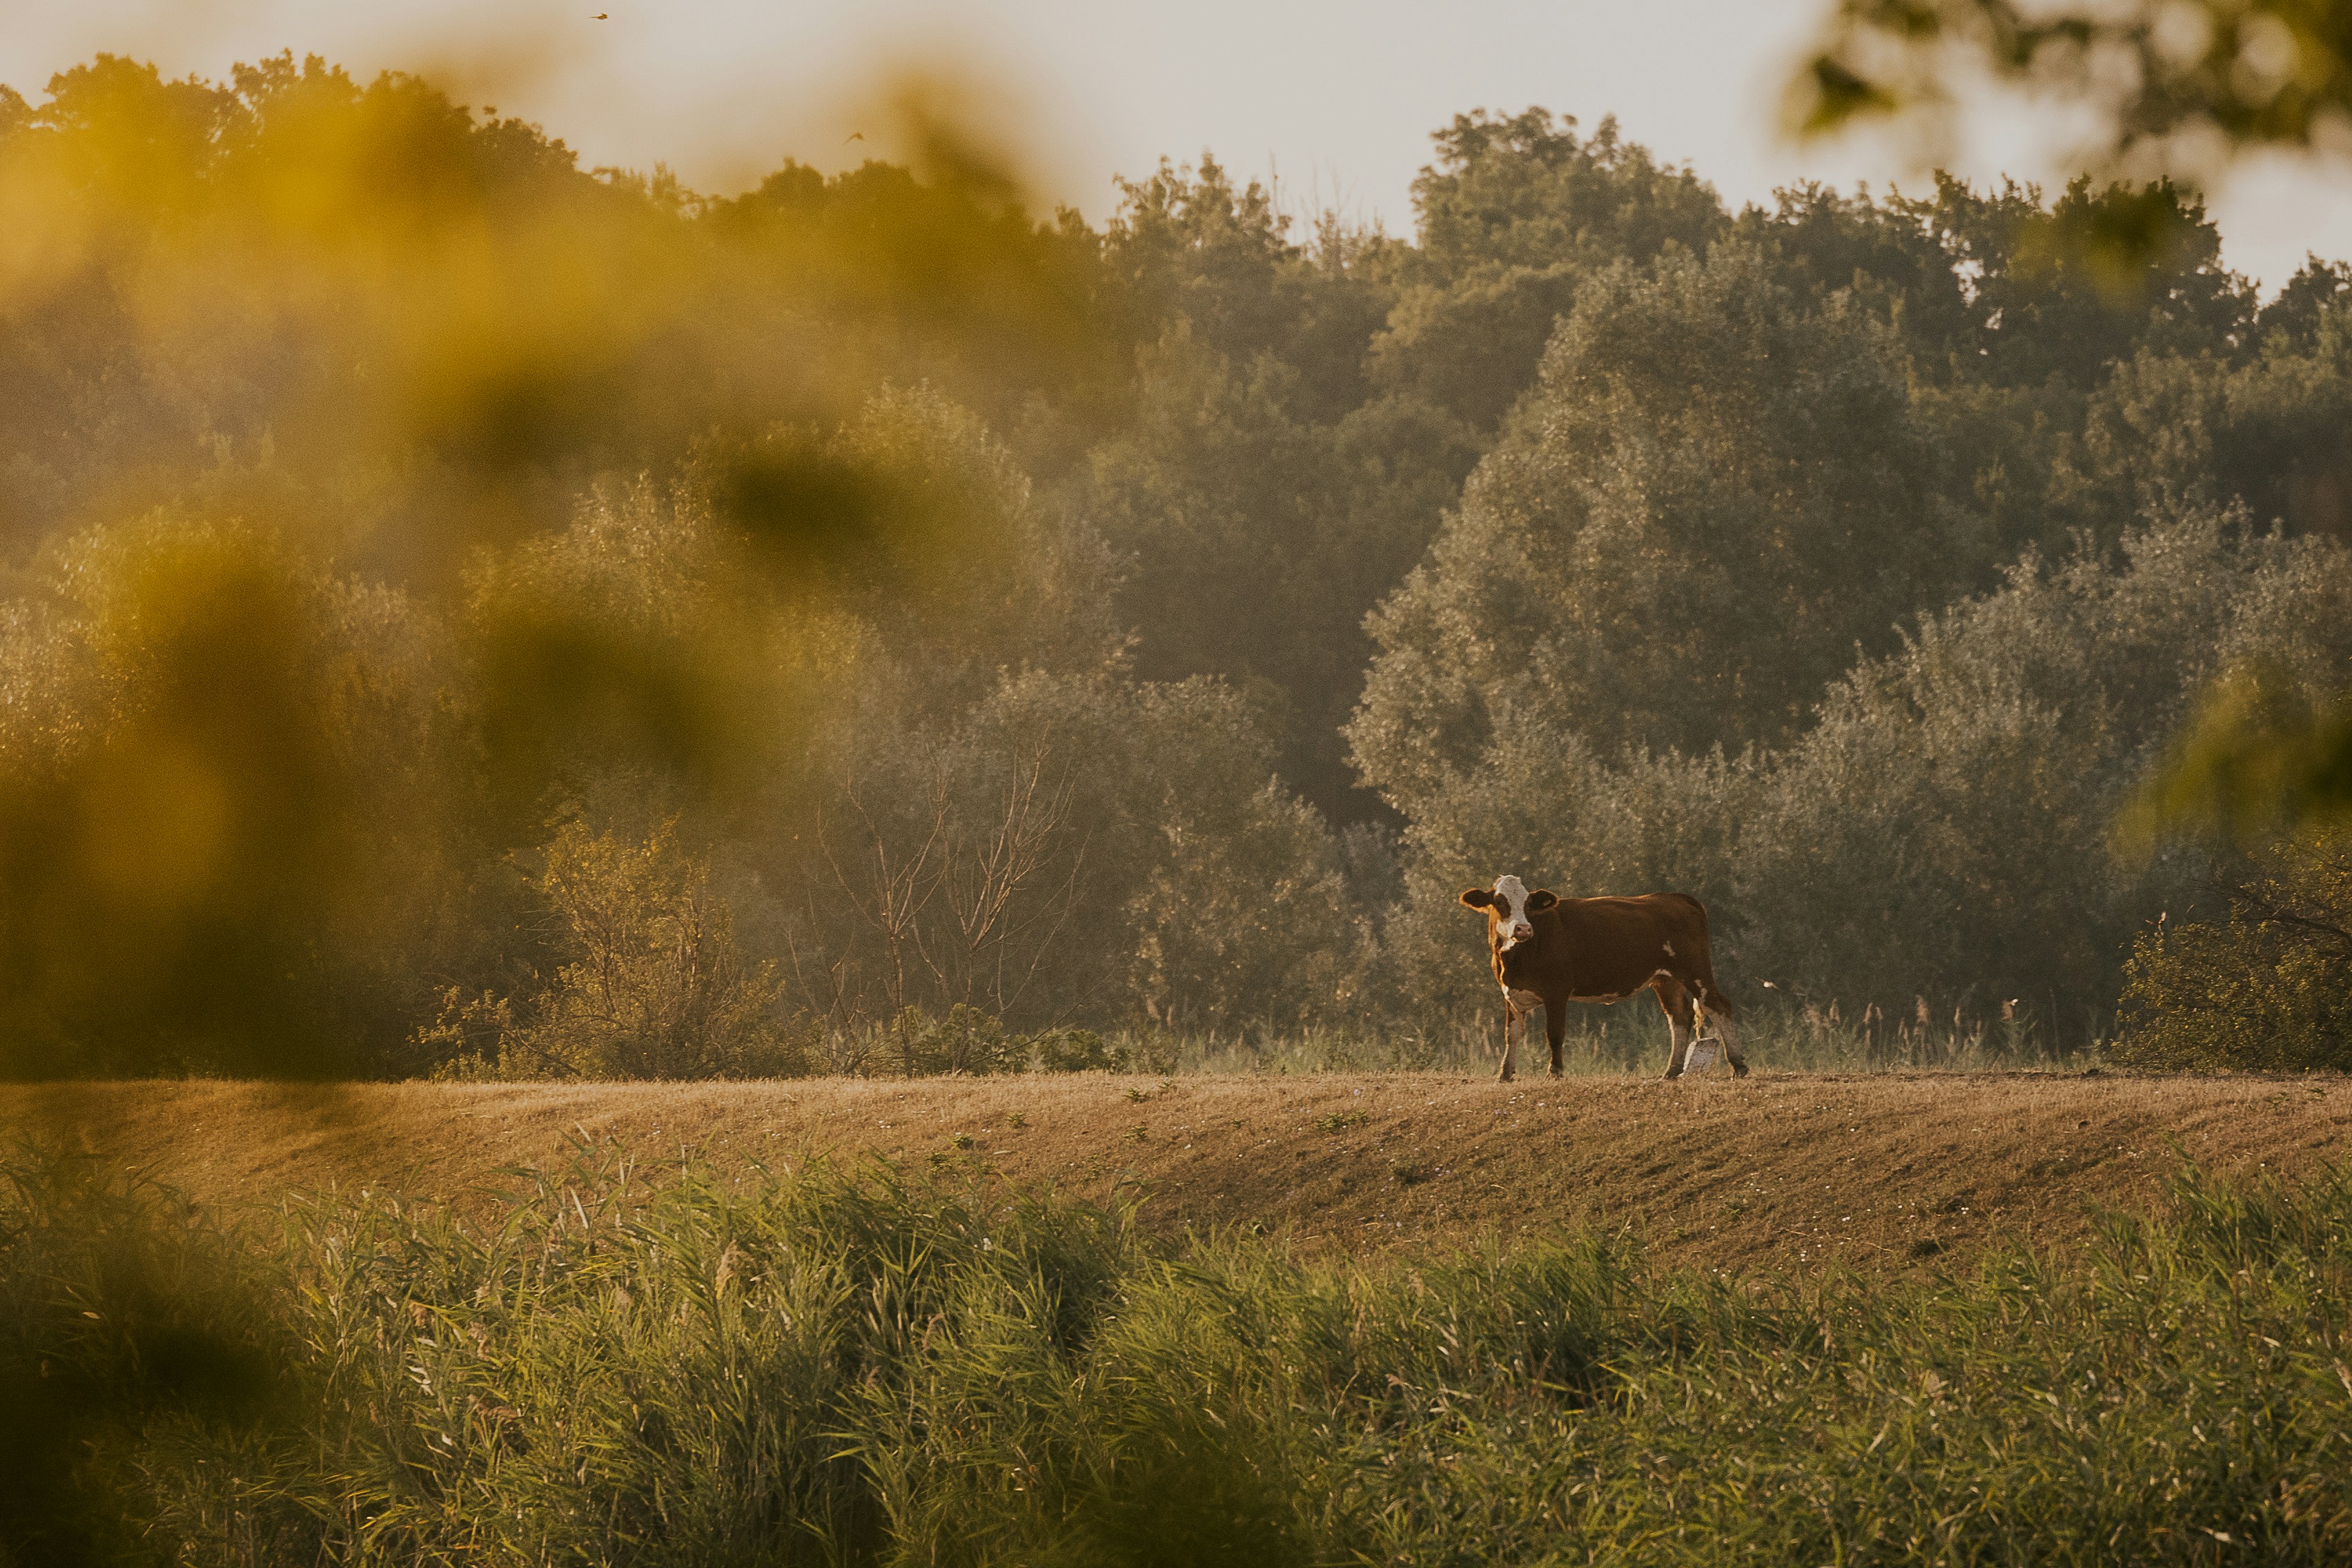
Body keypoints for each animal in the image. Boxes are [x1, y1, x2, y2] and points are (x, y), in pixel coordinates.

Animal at [1459, 874, 1748, 1082]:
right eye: (1499, 902)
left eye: (1529, 904)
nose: (1523, 929)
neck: (1517, 957)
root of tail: (1675, 898)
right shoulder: (1510, 993)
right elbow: (1512, 1034)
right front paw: (1505, 1074)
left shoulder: (1557, 990)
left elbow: (1554, 1033)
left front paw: (1555, 1072)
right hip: (1666, 979)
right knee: (1679, 1015)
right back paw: (1672, 1071)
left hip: (1696, 971)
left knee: (1718, 1005)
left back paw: (1738, 1065)